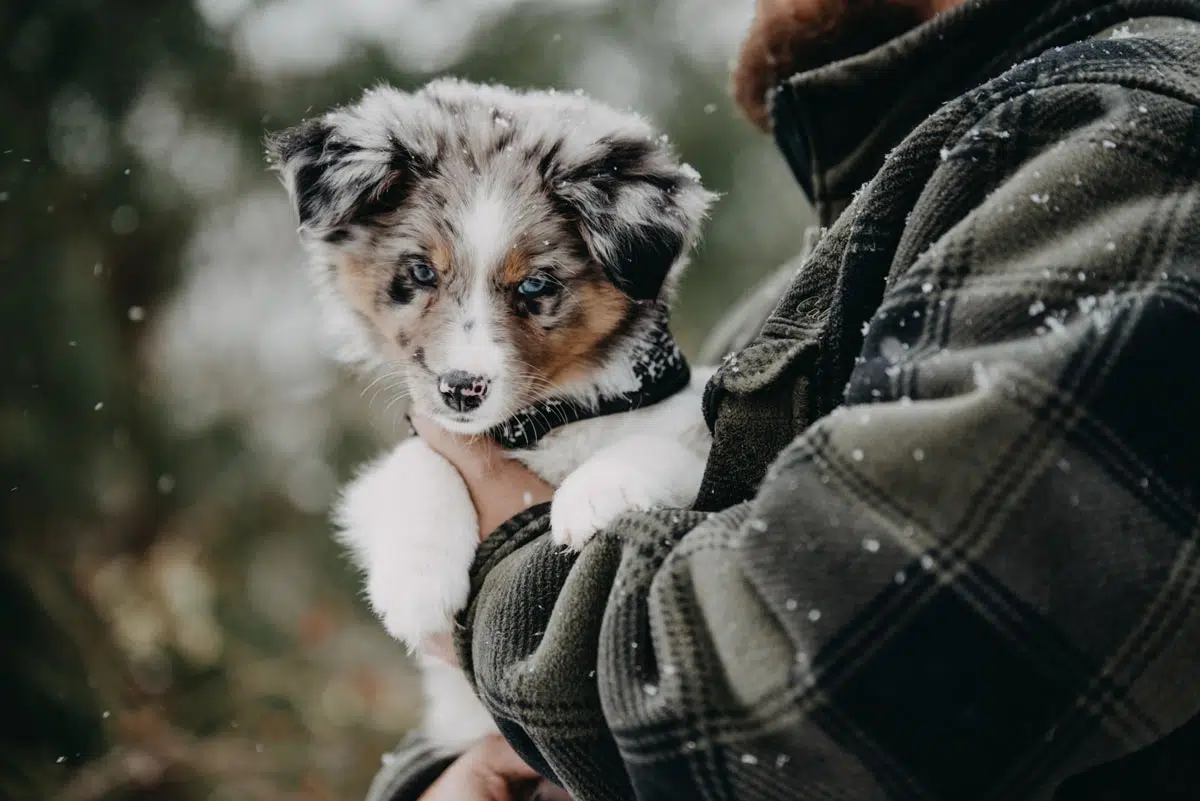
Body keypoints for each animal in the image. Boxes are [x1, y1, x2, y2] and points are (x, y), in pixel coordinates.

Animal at [268, 79, 715, 757]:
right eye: (420, 271)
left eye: (535, 285)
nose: (461, 390)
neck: (544, 421)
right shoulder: (398, 462)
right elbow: (418, 466)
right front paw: (417, 580)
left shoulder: (688, 424)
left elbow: (661, 449)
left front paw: (597, 494)